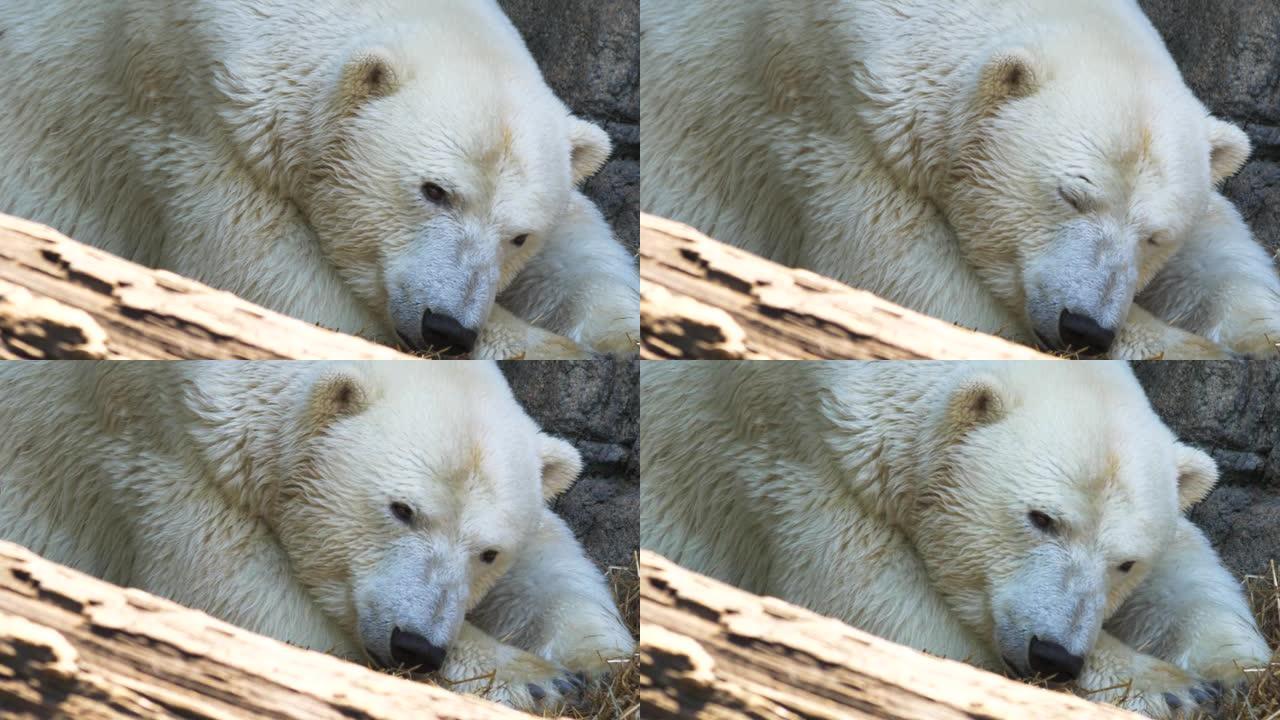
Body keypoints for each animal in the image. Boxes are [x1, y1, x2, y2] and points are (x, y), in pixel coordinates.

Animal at [0, 0, 640, 358]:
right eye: (434, 191)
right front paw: (543, 346)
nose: (446, 329)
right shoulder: (195, 112)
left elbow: (577, 241)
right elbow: (269, 278)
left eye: (519, 236)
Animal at [0, 361, 637, 707]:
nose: (416, 646)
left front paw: (595, 663)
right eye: (401, 509)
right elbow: (242, 600)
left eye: (488, 552)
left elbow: (549, 559)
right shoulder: (158, 445)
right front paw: (538, 681)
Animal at [640, 0, 1280, 358]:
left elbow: (1215, 244)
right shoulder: (834, 110)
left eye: (1155, 236)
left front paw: (1256, 335)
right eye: (1070, 195)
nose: (1084, 329)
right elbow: (909, 280)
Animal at [640, 361, 1269, 712]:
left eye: (1125, 563)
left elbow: (1185, 564)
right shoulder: (795, 456)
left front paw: (1230, 671)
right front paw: (1174, 690)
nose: (1053, 656)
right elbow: (885, 615)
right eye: (1040, 518)